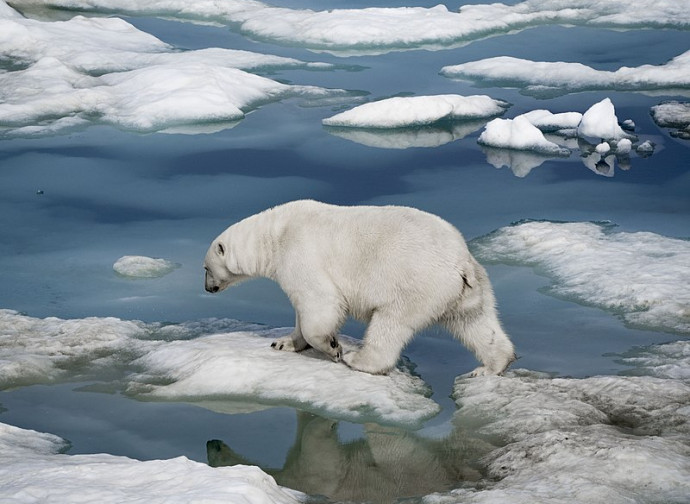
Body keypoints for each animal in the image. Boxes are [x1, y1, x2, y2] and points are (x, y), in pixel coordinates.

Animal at [202, 199, 512, 376]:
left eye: (205, 268)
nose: (207, 289)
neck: (275, 234)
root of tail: (461, 262)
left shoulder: (300, 253)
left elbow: (321, 302)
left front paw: (333, 347)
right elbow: (302, 310)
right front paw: (284, 342)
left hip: (417, 283)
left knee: (391, 322)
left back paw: (359, 359)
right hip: (469, 289)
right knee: (474, 323)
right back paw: (491, 366)